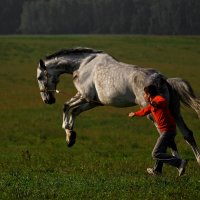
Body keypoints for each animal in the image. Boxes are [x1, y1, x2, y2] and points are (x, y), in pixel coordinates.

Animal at [36, 47, 200, 165]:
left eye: (39, 77)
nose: (47, 100)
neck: (82, 65)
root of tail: (163, 79)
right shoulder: (93, 102)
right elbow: (74, 111)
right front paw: (70, 137)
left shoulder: (84, 96)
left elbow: (65, 106)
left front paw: (68, 133)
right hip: (174, 111)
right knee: (187, 134)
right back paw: (196, 160)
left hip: (153, 114)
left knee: (167, 135)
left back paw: (175, 164)